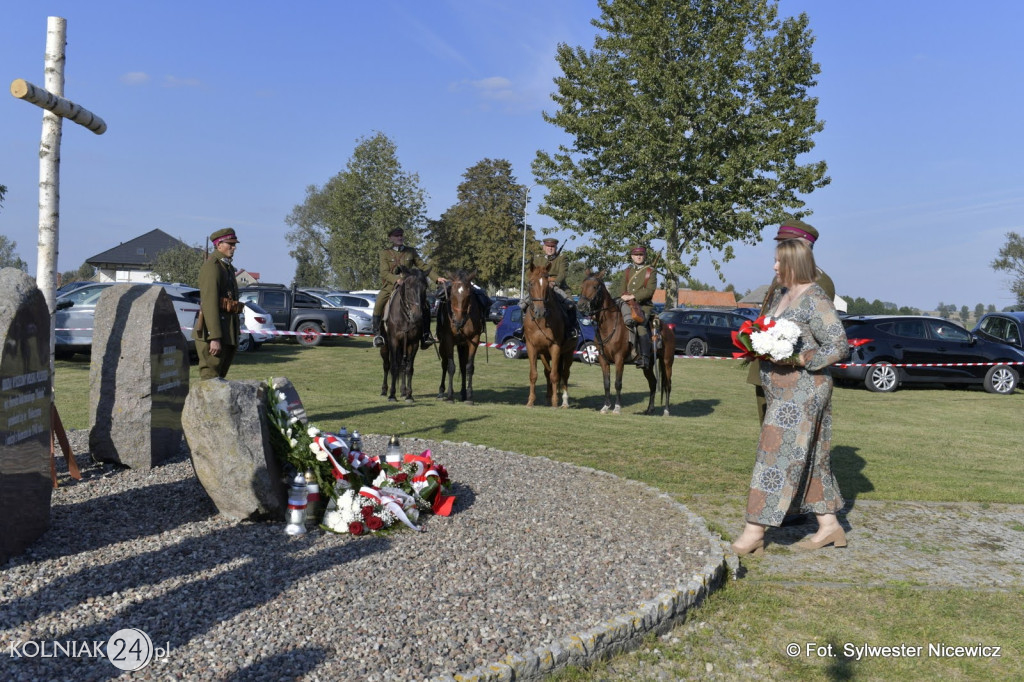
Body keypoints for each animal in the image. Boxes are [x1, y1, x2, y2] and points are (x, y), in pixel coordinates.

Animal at [380, 266, 428, 401]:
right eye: (408, 288)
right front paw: (392, 395)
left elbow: (409, 368)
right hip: (385, 346)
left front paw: (409, 395)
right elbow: (393, 367)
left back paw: (402, 391)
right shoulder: (394, 342)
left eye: (425, 288)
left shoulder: (413, 343)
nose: (417, 316)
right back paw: (384, 390)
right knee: (387, 365)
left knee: (402, 365)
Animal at [438, 266, 485, 403]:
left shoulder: (473, 340)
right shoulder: (448, 340)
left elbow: (469, 367)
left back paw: (464, 393)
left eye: (468, 295)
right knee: (444, 364)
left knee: (463, 367)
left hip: (462, 345)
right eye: (452, 294)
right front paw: (449, 396)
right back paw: (441, 391)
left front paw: (469, 396)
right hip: (443, 345)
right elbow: (450, 366)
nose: (458, 321)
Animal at [524, 261, 573, 405]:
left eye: (547, 285)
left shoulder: (555, 347)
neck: (541, 321)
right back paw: (548, 397)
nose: (540, 311)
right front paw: (530, 401)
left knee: (564, 373)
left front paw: (555, 402)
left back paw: (564, 401)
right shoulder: (532, 347)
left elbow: (555, 375)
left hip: (568, 352)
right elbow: (534, 374)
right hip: (544, 354)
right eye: (531, 283)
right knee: (548, 372)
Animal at [573, 270, 675, 413]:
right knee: (653, 383)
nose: (581, 306)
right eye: (583, 286)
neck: (609, 325)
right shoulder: (603, 360)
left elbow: (617, 383)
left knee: (667, 384)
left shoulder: (619, 359)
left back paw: (666, 410)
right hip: (648, 366)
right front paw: (605, 406)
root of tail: (668, 329)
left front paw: (617, 407)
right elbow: (606, 383)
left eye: (594, 286)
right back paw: (650, 409)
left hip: (667, 363)